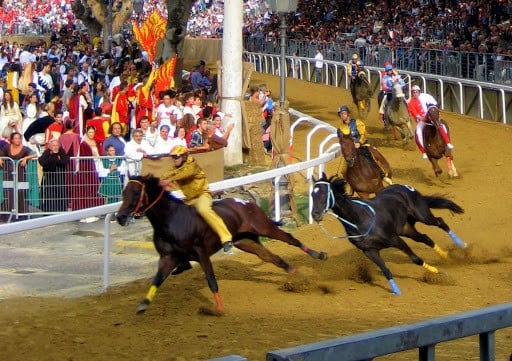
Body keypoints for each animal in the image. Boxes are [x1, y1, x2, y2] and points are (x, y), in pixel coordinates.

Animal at [116, 176, 328, 314]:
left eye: (136, 192)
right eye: (123, 192)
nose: (120, 217)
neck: (172, 221)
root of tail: (246, 202)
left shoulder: (201, 253)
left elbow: (211, 280)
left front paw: (218, 308)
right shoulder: (168, 258)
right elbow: (157, 280)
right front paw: (143, 304)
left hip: (264, 227)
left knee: (290, 239)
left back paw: (318, 255)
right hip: (246, 241)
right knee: (274, 258)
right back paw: (296, 275)